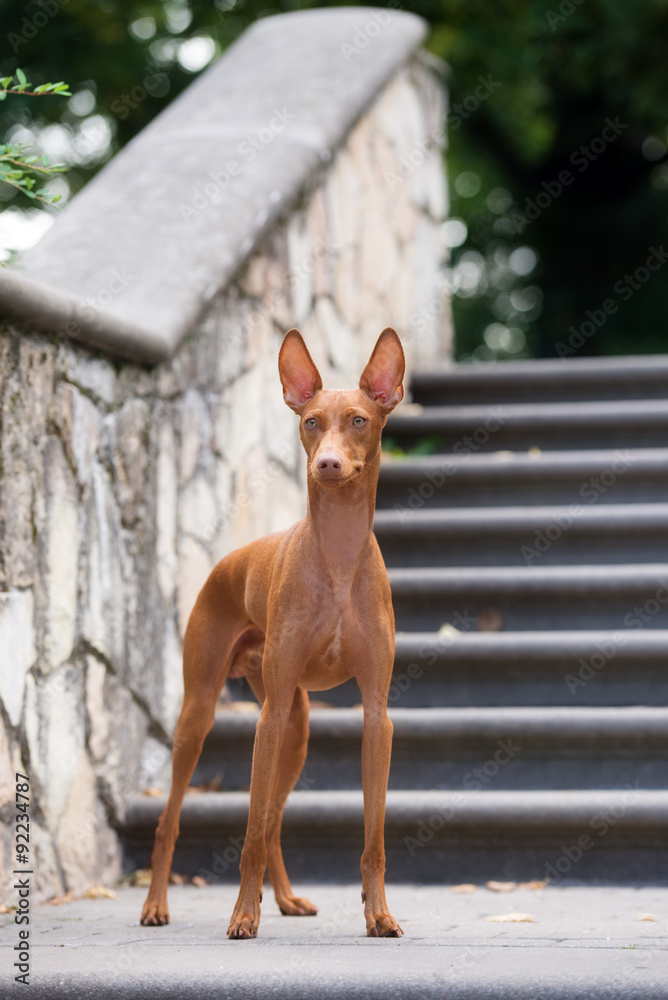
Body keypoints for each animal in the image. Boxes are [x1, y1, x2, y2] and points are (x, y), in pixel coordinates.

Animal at [140, 328, 402, 936]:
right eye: (310, 421)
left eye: (359, 420)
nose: (327, 464)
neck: (338, 557)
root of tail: (225, 562)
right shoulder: (270, 715)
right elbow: (249, 834)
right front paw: (242, 916)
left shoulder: (376, 716)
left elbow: (373, 837)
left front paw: (379, 914)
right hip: (206, 713)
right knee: (176, 820)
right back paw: (157, 905)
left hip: (298, 727)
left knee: (275, 819)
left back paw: (285, 899)